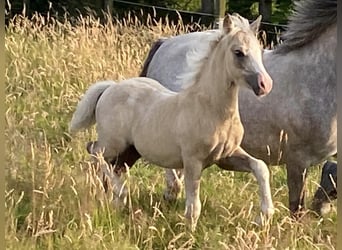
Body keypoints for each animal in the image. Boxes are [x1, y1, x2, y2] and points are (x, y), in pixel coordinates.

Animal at [71, 13, 274, 229]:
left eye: (259, 52)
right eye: (238, 52)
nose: (265, 85)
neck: (210, 109)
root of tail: (110, 87)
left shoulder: (226, 157)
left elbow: (260, 167)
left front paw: (263, 217)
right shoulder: (193, 161)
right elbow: (194, 205)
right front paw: (189, 232)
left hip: (130, 150)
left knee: (109, 164)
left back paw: (112, 197)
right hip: (113, 143)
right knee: (94, 151)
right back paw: (120, 193)